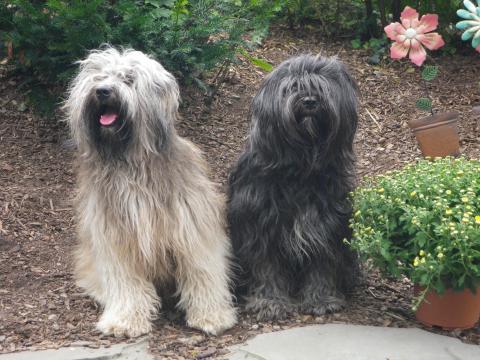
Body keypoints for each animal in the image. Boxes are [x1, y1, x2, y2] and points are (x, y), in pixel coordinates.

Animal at [63, 47, 236, 338]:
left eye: (128, 79)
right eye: (99, 76)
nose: (102, 91)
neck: (130, 162)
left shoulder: (192, 226)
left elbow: (202, 269)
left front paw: (211, 315)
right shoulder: (115, 236)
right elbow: (125, 281)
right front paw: (124, 319)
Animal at [229, 54, 360, 320]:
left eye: (321, 88)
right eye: (292, 87)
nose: (309, 101)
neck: (300, 171)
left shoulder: (327, 225)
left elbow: (323, 264)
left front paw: (321, 299)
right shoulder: (260, 227)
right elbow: (266, 268)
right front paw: (270, 302)